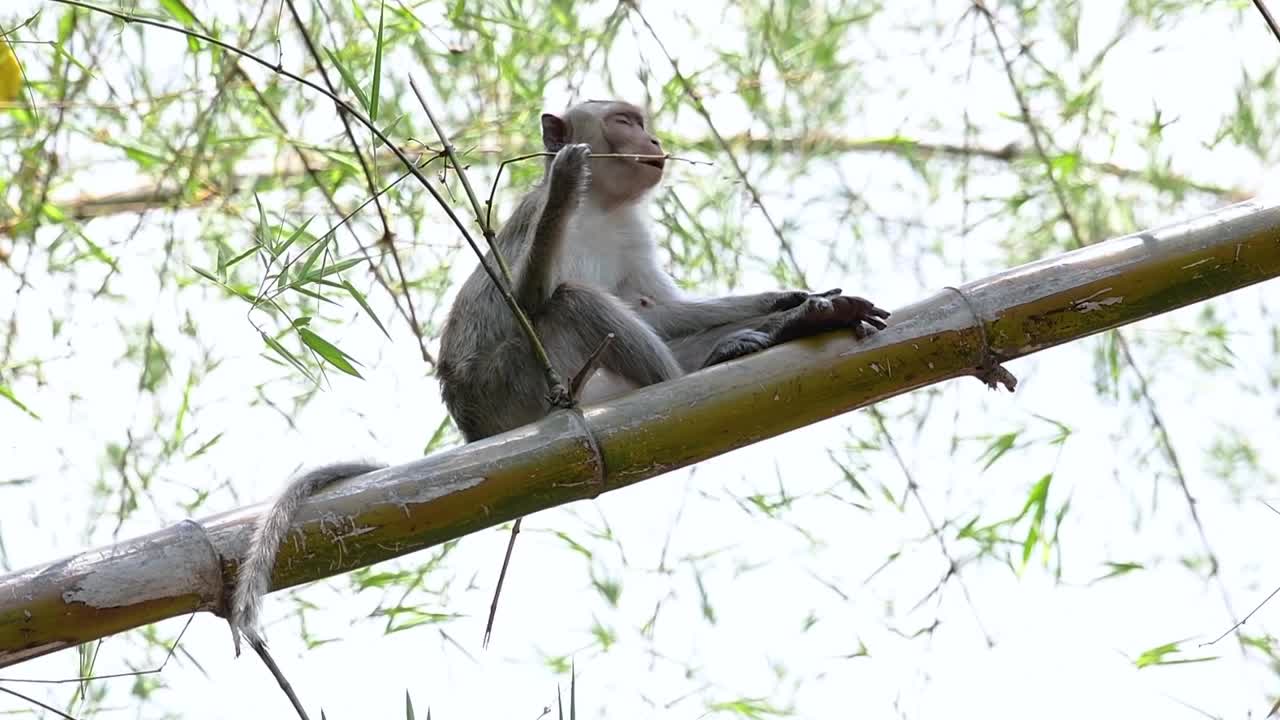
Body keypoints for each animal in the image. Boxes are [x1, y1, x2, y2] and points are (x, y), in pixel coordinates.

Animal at [227, 99, 889, 653]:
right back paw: (702, 366)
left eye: (640, 120)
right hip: (515, 384)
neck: (605, 208)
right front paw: (569, 179)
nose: (652, 138)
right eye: (623, 121)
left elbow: (660, 308)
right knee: (571, 300)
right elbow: (528, 296)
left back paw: (764, 336)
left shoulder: (632, 233)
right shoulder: (534, 217)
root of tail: (475, 431)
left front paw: (791, 299)